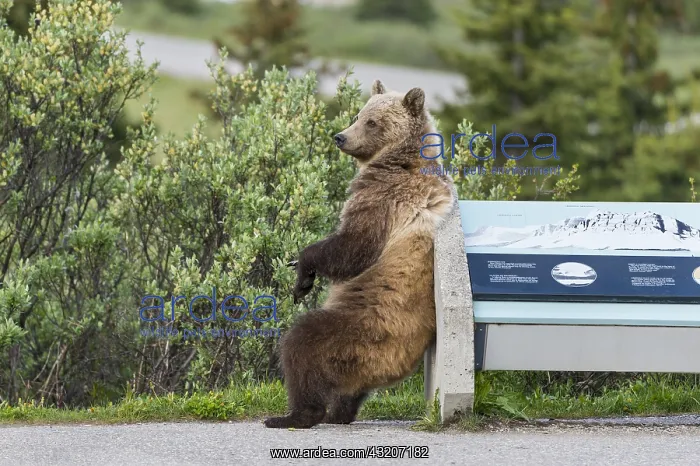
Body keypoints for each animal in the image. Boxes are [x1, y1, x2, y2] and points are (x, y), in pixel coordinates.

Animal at [264, 79, 455, 429]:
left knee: (303, 342)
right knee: (351, 388)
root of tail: (399, 364)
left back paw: (295, 414)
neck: (399, 159)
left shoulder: (382, 199)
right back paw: (340, 412)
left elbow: (354, 246)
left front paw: (303, 270)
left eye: (372, 122)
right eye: (358, 114)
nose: (340, 136)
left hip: (365, 331)